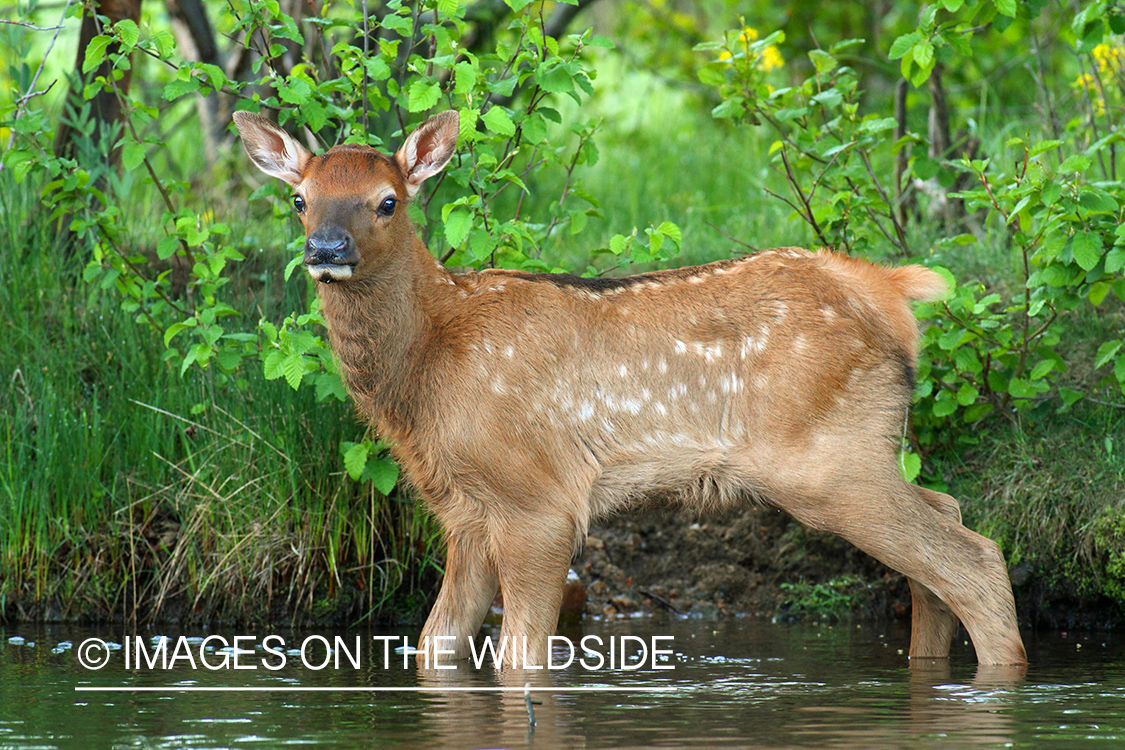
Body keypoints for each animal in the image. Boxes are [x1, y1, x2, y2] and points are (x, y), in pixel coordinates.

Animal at [235, 108, 1030, 665]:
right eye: (300, 199)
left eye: (387, 201)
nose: (326, 248)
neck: (429, 372)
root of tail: (891, 292)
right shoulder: (462, 509)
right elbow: (436, 646)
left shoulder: (537, 497)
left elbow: (520, 657)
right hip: (866, 444)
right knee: (945, 522)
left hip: (829, 456)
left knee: (974, 558)